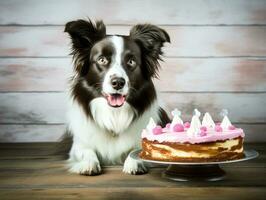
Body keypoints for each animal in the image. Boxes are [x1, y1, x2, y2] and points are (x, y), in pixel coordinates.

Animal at [63, 18, 169, 175]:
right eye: (102, 60)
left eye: (131, 61)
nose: (118, 82)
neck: (114, 114)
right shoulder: (79, 144)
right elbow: (86, 150)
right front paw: (88, 163)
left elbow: (138, 149)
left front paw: (134, 162)